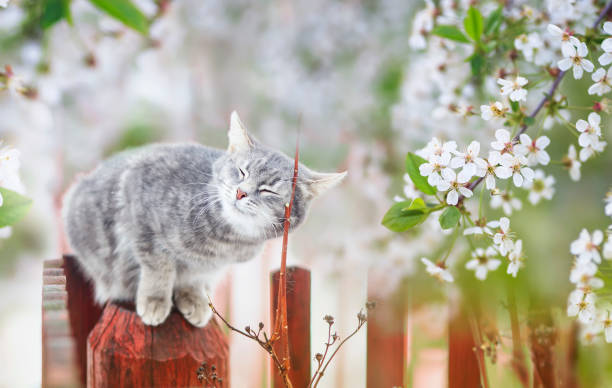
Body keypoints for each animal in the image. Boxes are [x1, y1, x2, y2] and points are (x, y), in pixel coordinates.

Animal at [65, 111, 350, 328]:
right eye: (242, 171)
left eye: (268, 190)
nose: (241, 191)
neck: (227, 240)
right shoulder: (140, 210)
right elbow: (159, 266)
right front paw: (155, 299)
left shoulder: (209, 265)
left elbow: (193, 276)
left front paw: (192, 297)